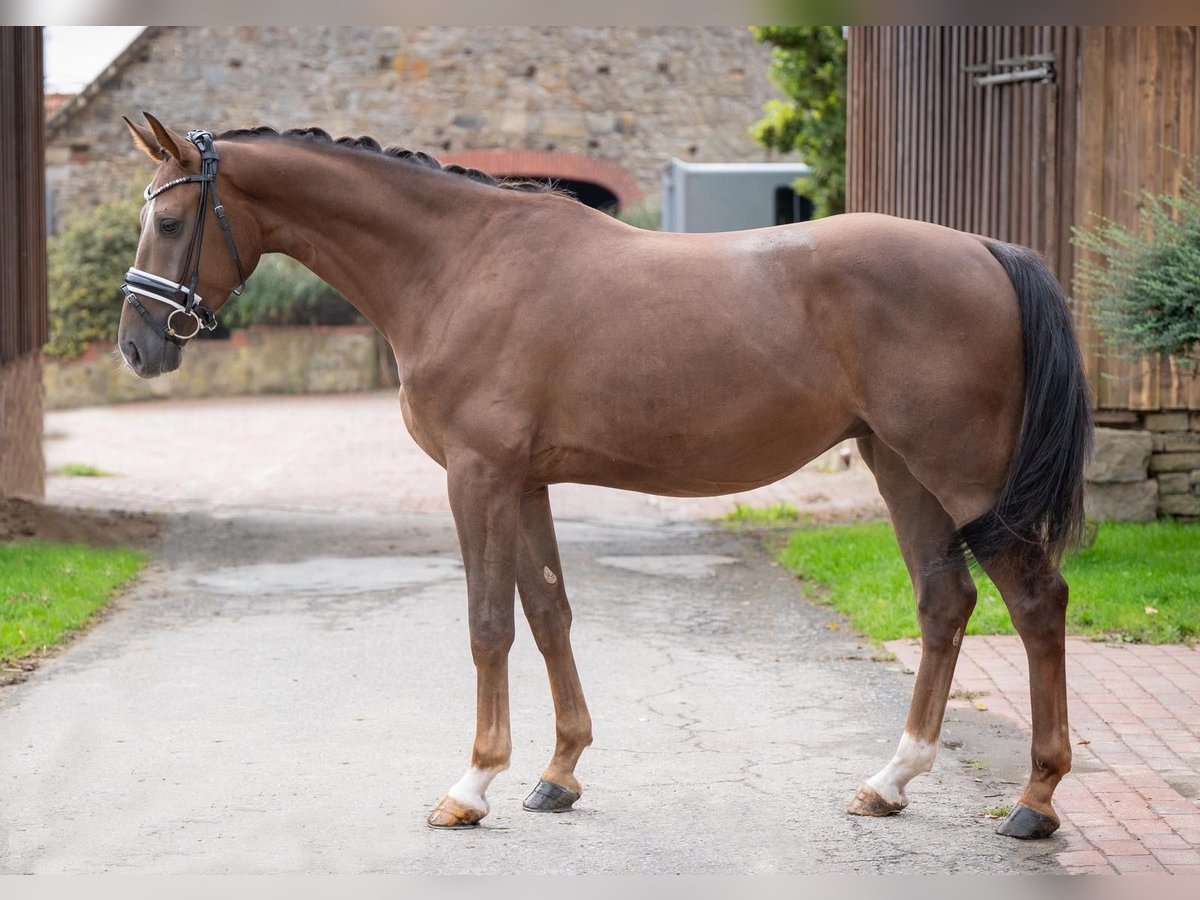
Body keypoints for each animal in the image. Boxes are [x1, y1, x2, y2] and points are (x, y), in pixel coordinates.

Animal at [117, 113, 1093, 840]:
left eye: (168, 222)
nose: (136, 346)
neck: (459, 264)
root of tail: (986, 249)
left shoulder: (478, 478)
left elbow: (487, 626)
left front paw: (470, 786)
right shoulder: (524, 484)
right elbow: (548, 614)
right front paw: (557, 775)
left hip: (960, 474)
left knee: (1036, 601)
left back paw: (1035, 801)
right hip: (902, 469)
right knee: (944, 602)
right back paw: (890, 780)